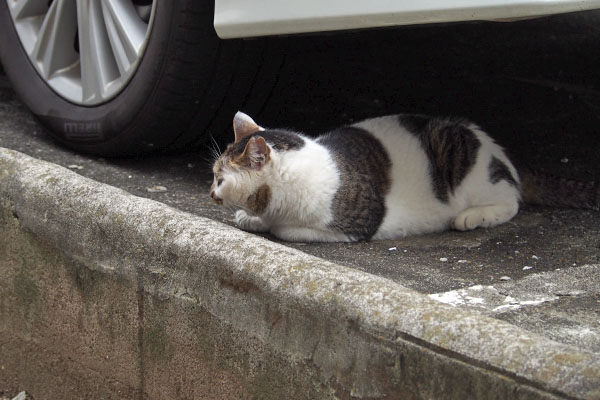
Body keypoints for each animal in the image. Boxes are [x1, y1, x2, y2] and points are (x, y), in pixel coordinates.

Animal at [209, 111, 596, 242]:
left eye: (219, 179)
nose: (210, 194)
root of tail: (494, 145)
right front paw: (251, 217)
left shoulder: (359, 222)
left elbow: (286, 230)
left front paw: (268, 223)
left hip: (468, 168)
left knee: (511, 199)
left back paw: (473, 217)